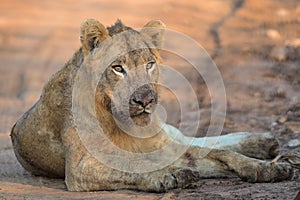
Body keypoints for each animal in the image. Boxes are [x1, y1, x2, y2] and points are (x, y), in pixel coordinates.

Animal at [9, 19, 296, 192]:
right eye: (117, 68)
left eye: (149, 64)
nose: (145, 100)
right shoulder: (80, 168)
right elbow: (131, 165)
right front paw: (171, 176)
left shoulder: (163, 145)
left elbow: (221, 156)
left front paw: (268, 169)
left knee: (193, 140)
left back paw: (264, 143)